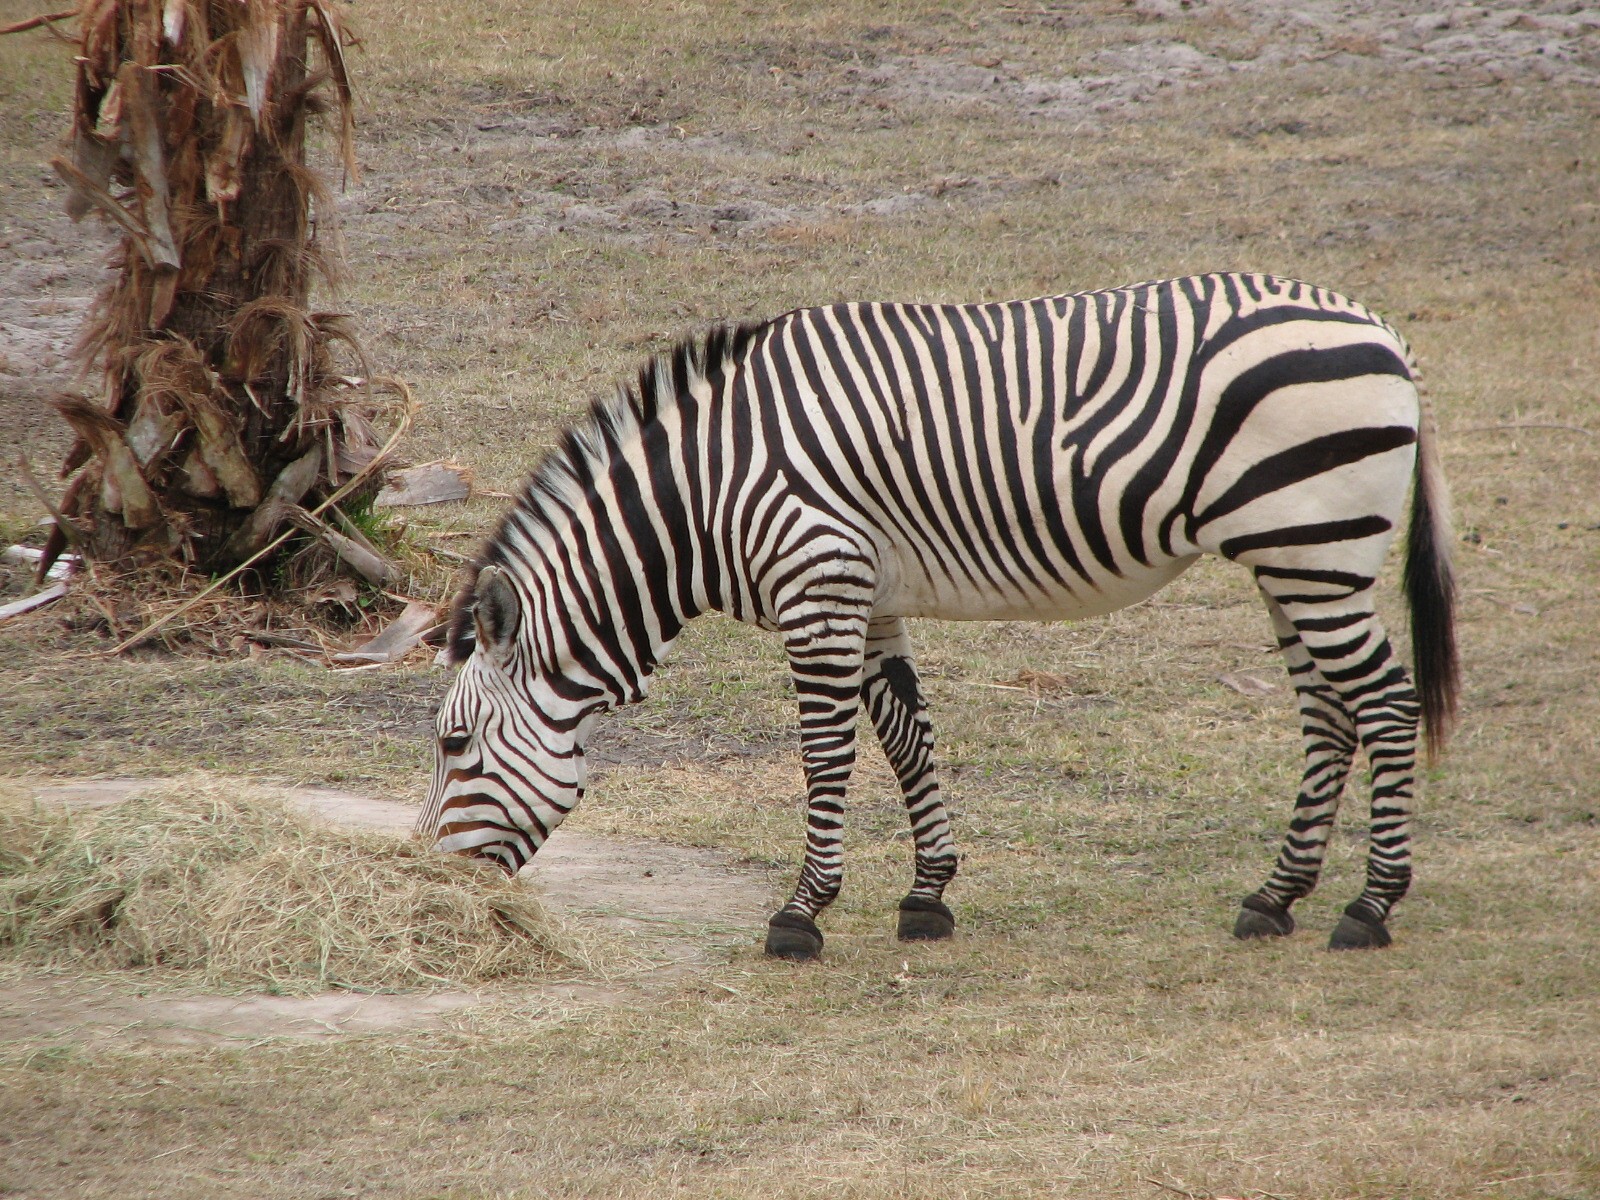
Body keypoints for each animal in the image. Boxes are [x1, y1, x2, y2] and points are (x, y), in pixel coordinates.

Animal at [421, 272, 1458, 960]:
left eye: (453, 745)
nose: (432, 880)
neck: (708, 495)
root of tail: (1385, 331)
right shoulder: (868, 594)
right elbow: (905, 735)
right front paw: (928, 895)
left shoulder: (818, 582)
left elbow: (828, 754)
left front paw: (802, 912)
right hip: (1293, 559)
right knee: (1329, 715)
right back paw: (1277, 897)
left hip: (1317, 550)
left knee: (1386, 707)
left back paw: (1370, 908)